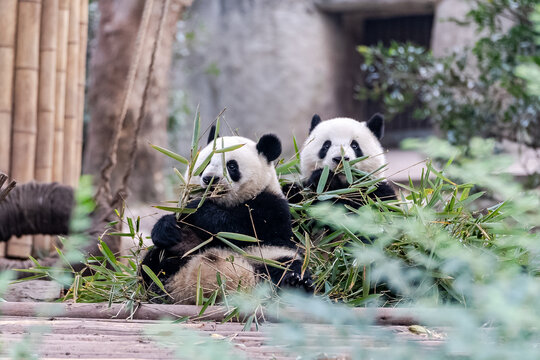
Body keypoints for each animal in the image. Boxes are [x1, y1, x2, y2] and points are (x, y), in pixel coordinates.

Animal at [141, 129, 312, 304]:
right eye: (206, 164)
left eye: (231, 166)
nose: (210, 179)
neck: (225, 202)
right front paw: (167, 229)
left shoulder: (272, 207)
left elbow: (237, 228)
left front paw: (196, 207)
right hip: (179, 256)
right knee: (151, 267)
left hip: (266, 256)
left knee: (286, 268)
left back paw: (295, 283)